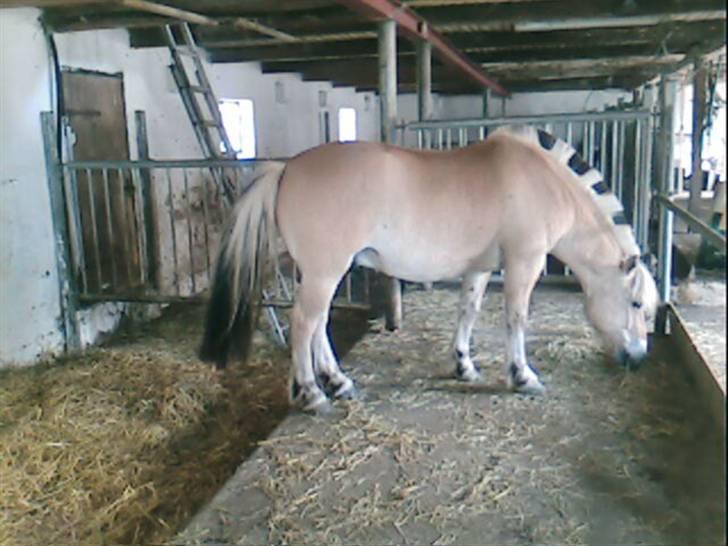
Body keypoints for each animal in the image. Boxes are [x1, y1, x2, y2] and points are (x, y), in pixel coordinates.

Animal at [199, 125, 660, 412]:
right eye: (637, 304)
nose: (638, 358)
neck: (544, 181)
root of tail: (287, 168)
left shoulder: (480, 268)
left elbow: (468, 312)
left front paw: (464, 365)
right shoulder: (523, 263)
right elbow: (516, 318)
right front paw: (522, 376)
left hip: (317, 274)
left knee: (318, 326)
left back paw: (338, 382)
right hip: (324, 273)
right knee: (303, 326)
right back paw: (313, 394)